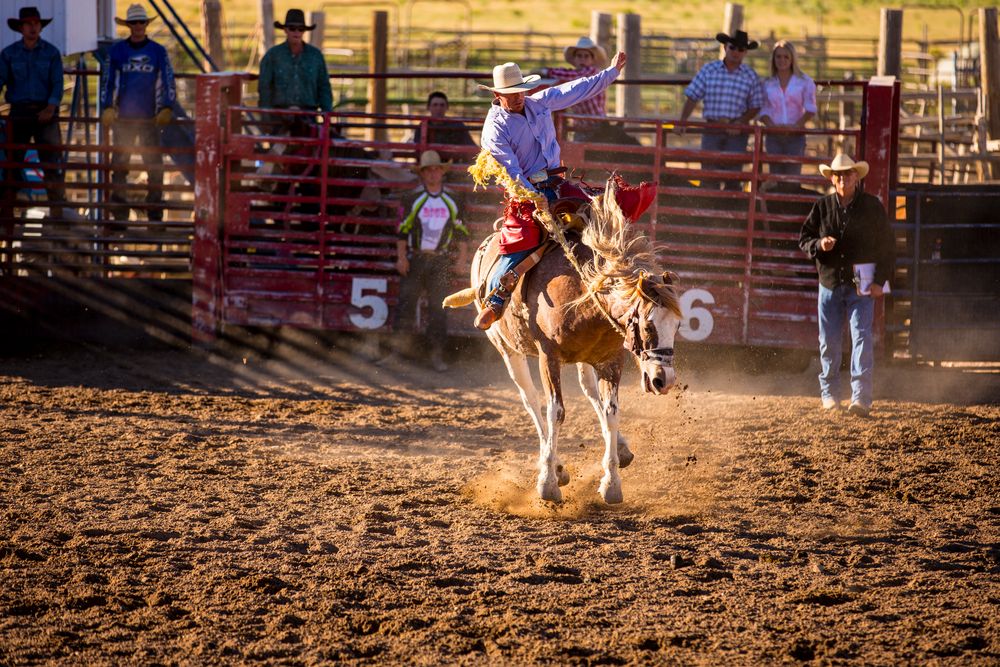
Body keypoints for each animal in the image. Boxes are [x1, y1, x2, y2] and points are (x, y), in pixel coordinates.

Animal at [450, 180, 684, 504]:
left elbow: (611, 412)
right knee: (531, 401)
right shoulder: (549, 358)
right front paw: (548, 482)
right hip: (507, 349)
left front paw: (612, 483)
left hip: (584, 359)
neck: (581, 295)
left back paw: (621, 449)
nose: (665, 380)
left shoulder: (610, 360)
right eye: (648, 325)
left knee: (588, 391)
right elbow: (555, 412)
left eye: (677, 325)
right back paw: (556, 465)